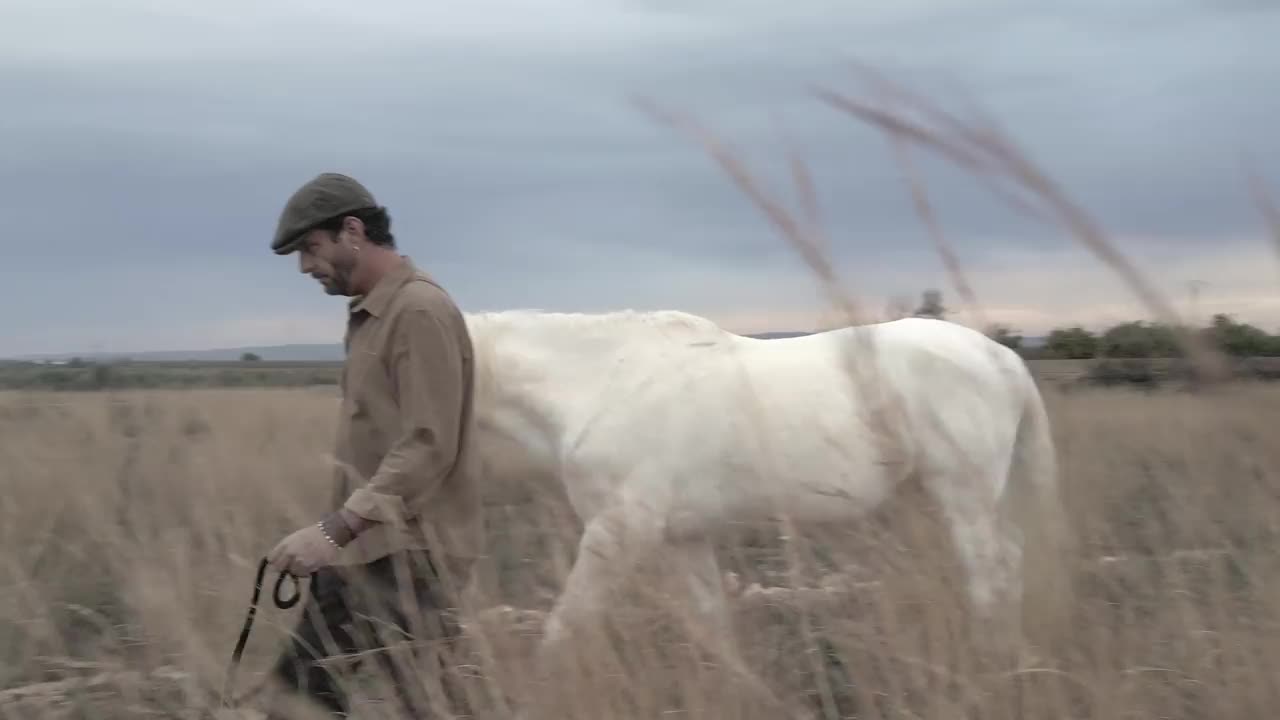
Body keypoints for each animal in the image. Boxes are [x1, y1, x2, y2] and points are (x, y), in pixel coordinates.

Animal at [460, 310, 1070, 671]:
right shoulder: (683, 537)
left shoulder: (618, 531)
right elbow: (712, 625)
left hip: (964, 497)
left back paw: (989, 662)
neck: (599, 381)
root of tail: (1001, 356)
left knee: (989, 573)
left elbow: (565, 624)